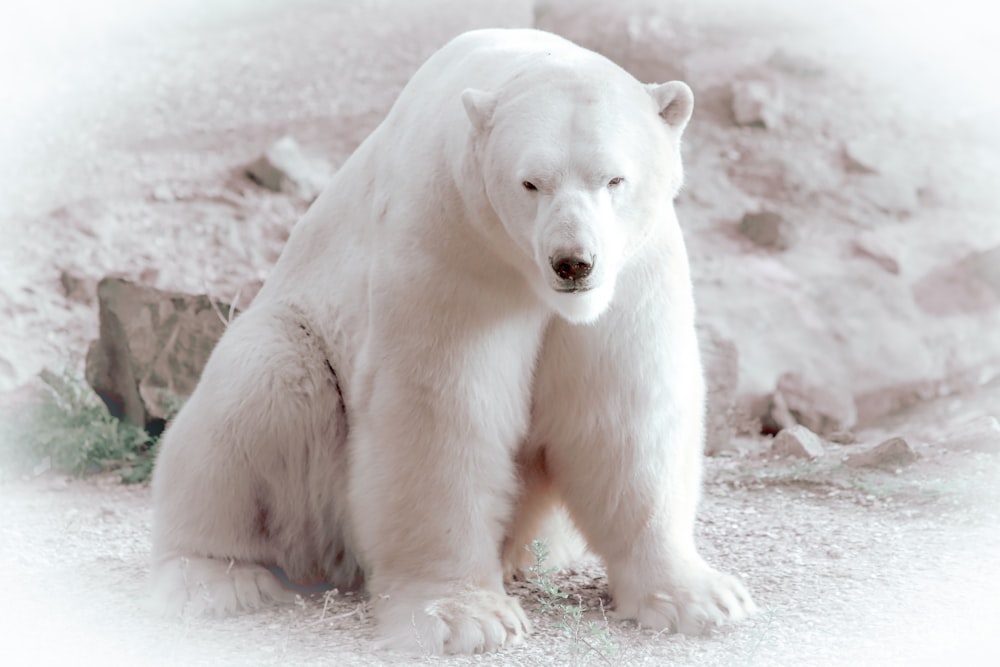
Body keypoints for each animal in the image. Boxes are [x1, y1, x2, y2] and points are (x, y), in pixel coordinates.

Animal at [148, 28, 752, 656]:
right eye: (530, 182)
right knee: (259, 388)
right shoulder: (452, 245)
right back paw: (218, 578)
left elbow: (624, 409)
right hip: (301, 396)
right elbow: (443, 411)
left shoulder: (635, 271)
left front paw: (701, 599)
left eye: (614, 179)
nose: (573, 263)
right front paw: (467, 618)